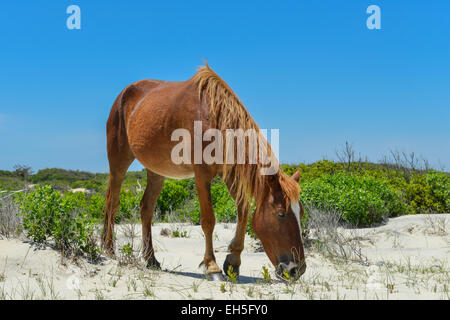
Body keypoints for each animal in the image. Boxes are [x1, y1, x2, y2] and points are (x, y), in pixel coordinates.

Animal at [102, 62, 306, 280]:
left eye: (300, 213)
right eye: (281, 214)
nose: (297, 269)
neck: (214, 118)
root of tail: (123, 94)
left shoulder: (230, 175)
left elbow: (243, 212)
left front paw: (233, 262)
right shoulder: (202, 176)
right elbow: (209, 220)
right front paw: (212, 266)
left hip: (156, 171)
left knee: (146, 208)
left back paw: (151, 259)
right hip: (119, 161)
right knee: (113, 202)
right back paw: (109, 249)